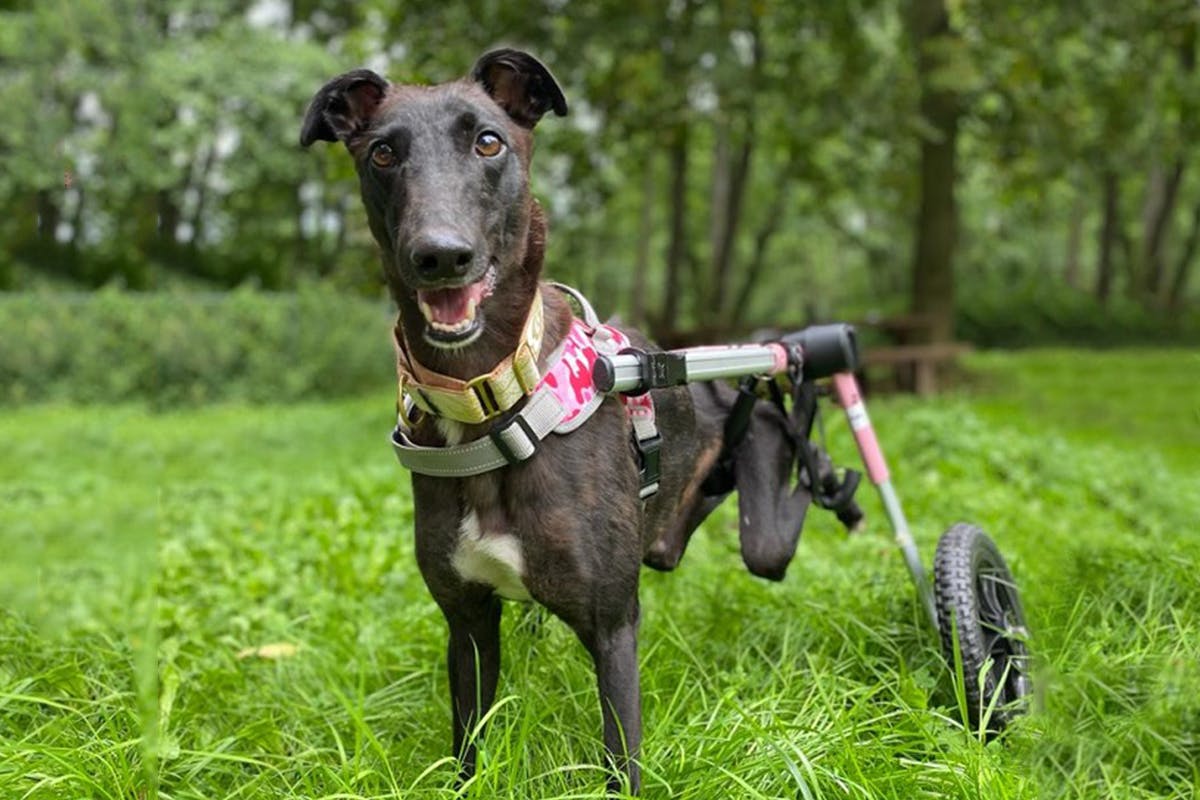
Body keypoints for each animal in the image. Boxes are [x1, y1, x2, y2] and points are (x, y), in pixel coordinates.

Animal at [301, 49, 814, 794]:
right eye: (382, 154)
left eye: (489, 142)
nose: (441, 255)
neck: (488, 402)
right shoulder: (468, 624)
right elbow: (468, 745)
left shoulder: (613, 626)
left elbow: (621, 759)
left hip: (766, 522)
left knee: (800, 495)